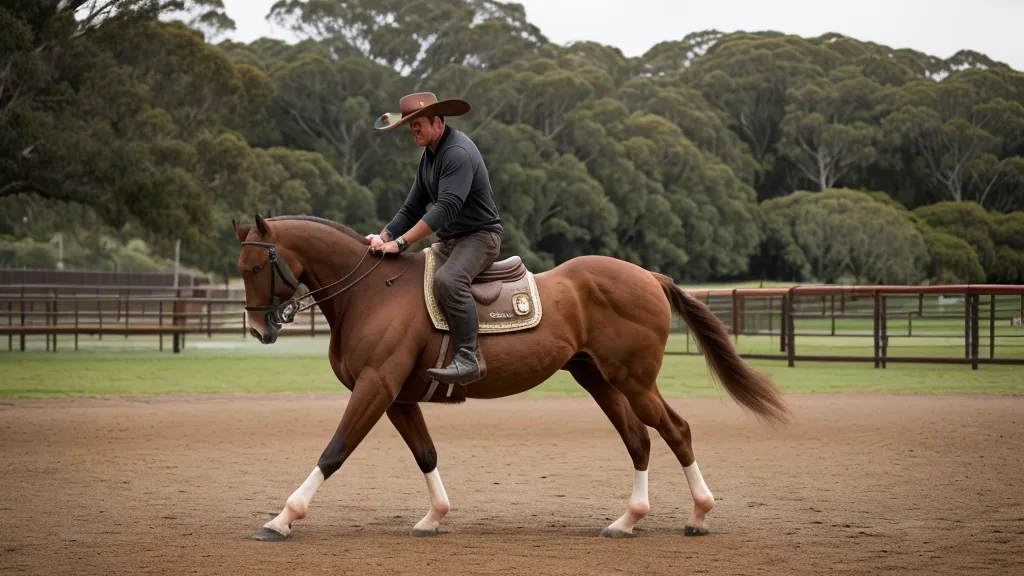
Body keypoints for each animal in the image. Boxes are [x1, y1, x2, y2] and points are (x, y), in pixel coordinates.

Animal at [232, 213, 790, 541]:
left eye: (255, 266)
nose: (259, 329)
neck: (371, 292)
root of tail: (647, 276)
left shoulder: (376, 387)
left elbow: (335, 450)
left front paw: (284, 517)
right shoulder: (397, 398)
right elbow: (425, 454)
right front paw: (435, 516)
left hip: (633, 381)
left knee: (676, 431)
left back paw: (698, 513)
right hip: (601, 381)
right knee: (639, 439)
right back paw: (628, 519)